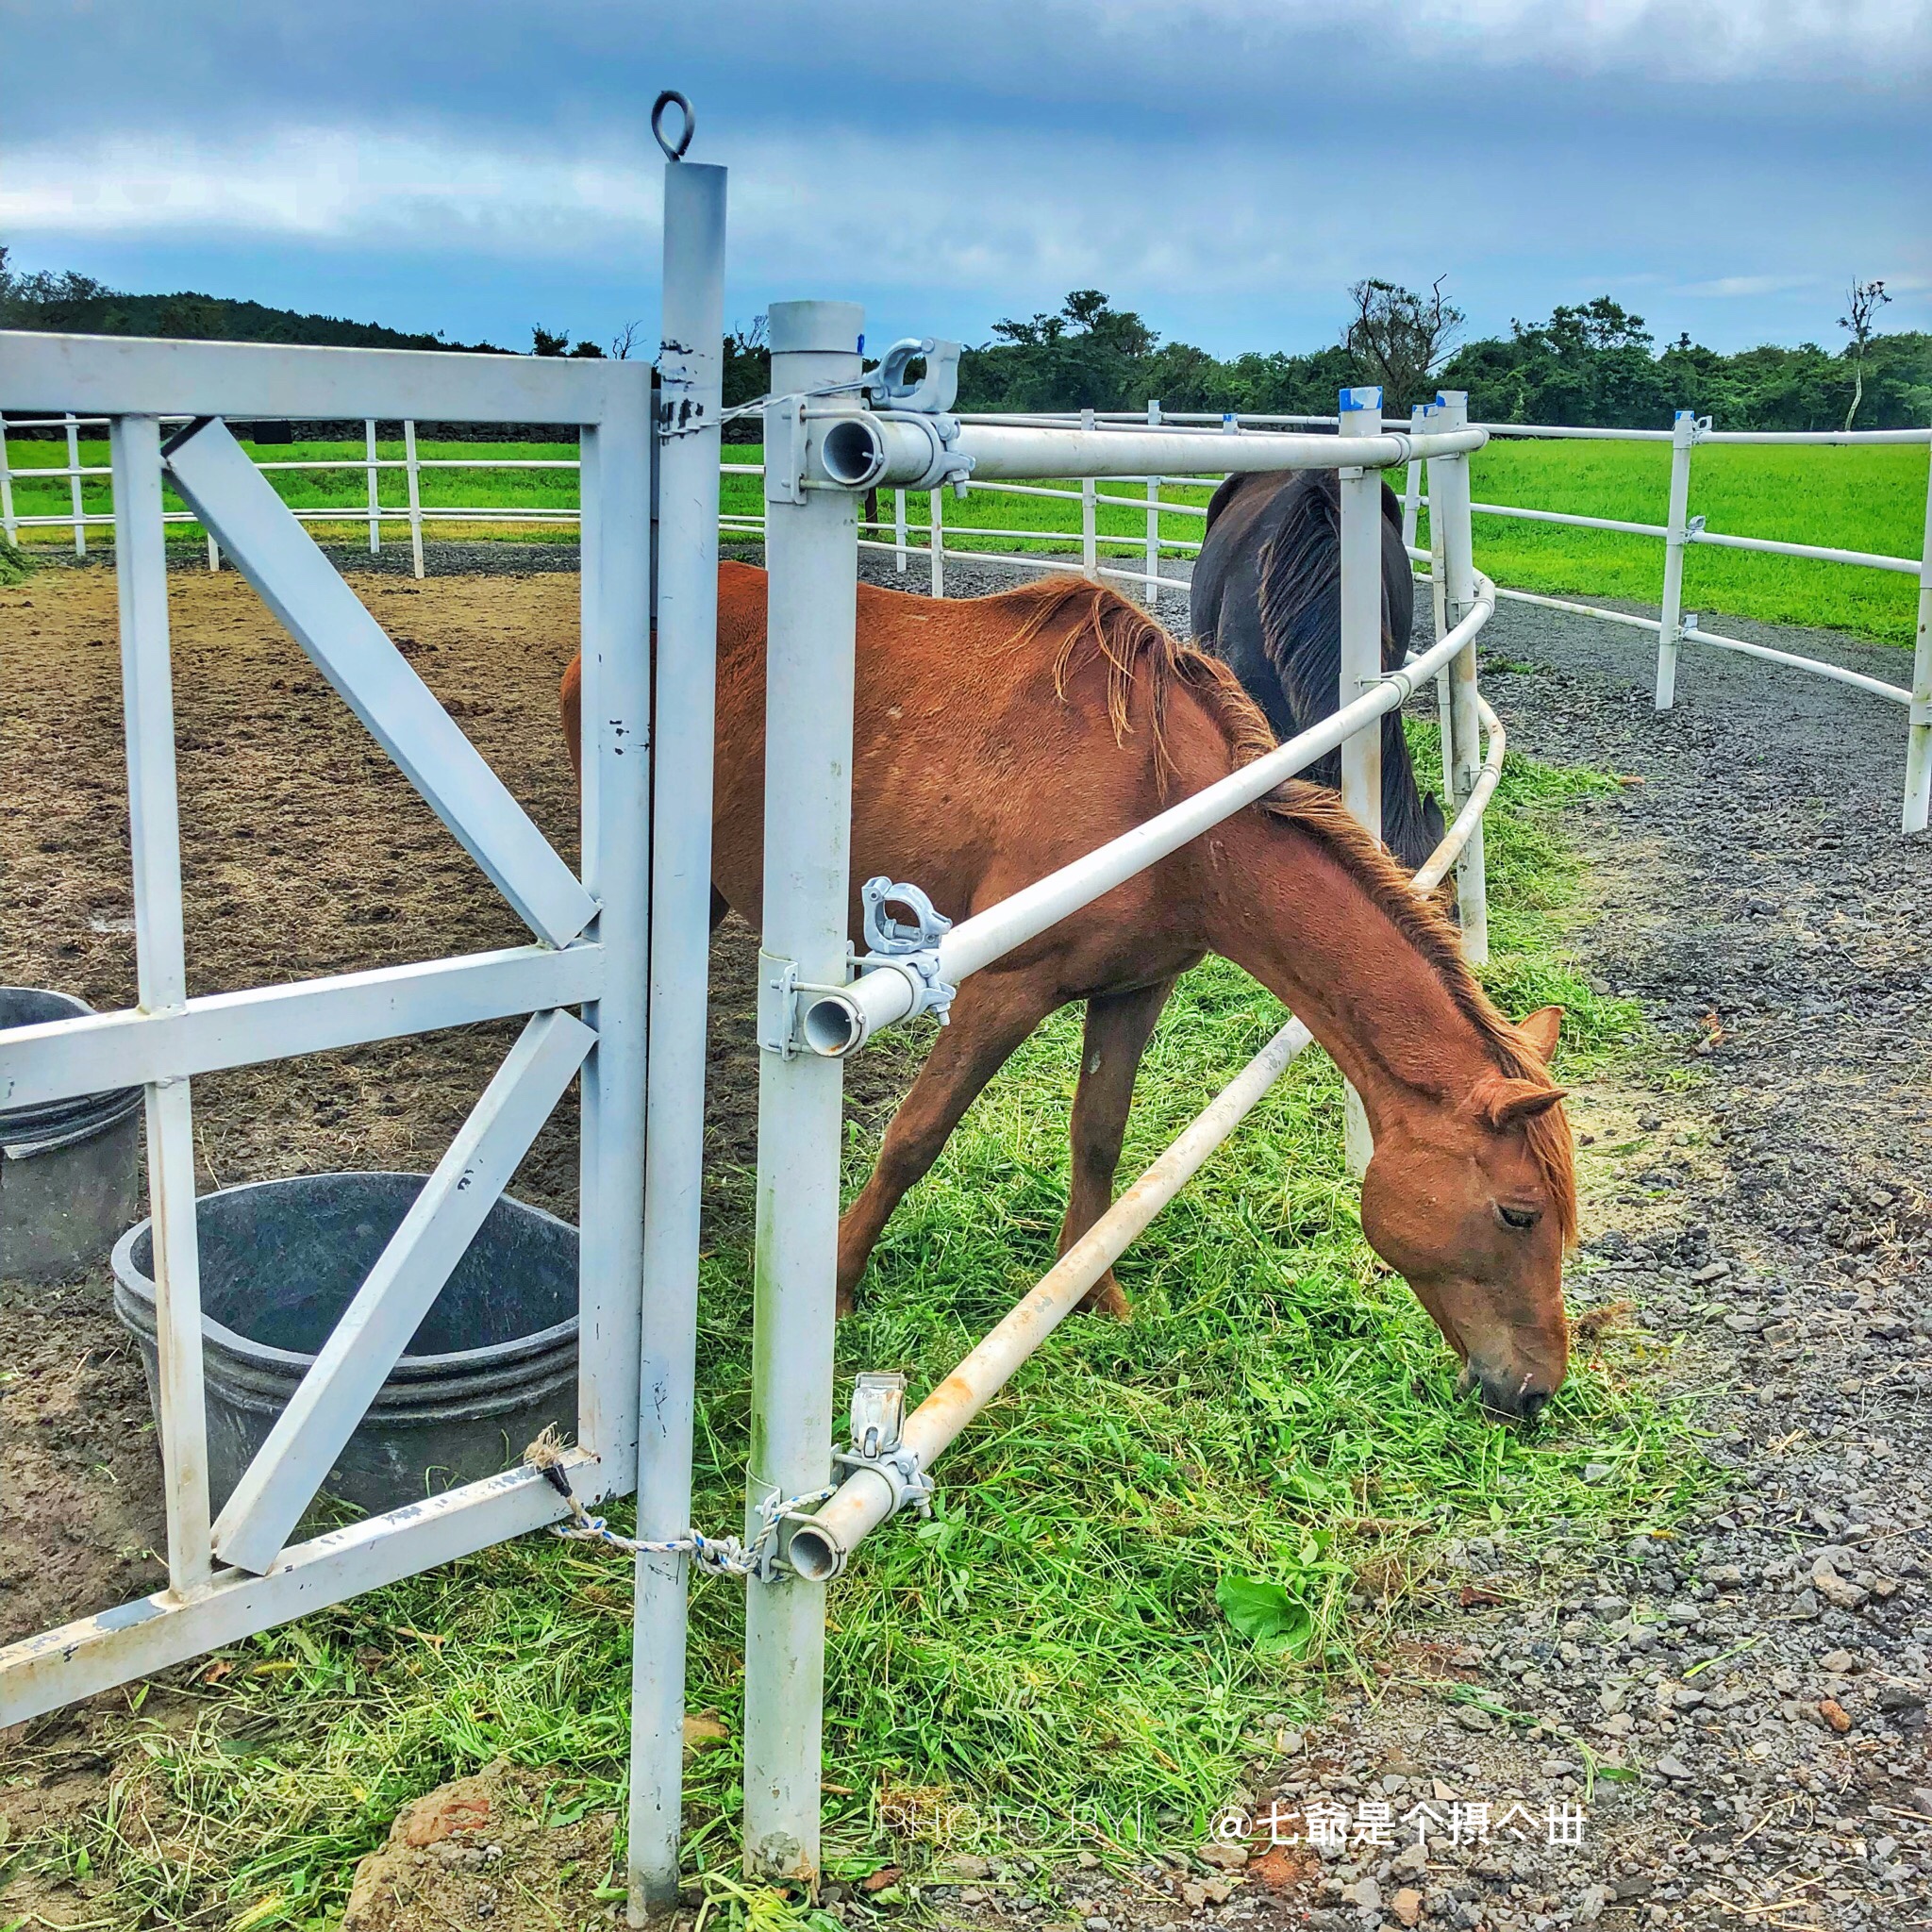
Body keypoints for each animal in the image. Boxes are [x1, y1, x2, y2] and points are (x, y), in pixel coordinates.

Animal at [556, 559, 1568, 1422]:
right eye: (1518, 1213)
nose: (1535, 1390)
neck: (1168, 809)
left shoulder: (1136, 989)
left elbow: (1100, 1136)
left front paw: (1092, 1292)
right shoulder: (998, 989)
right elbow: (914, 1138)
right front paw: (836, 1287)